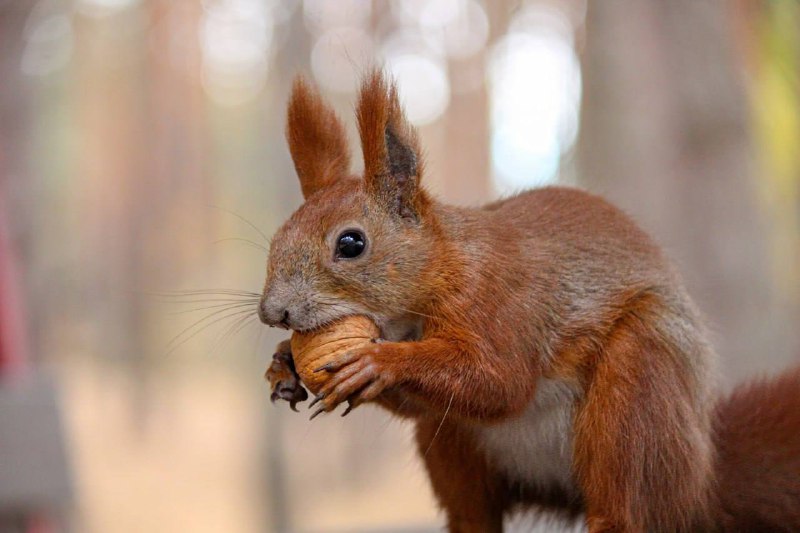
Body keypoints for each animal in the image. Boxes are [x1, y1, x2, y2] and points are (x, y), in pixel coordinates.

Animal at [262, 71, 800, 532]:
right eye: (277, 237)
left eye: (351, 244)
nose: (273, 313)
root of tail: (702, 479)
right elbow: (437, 401)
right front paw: (284, 364)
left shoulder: (501, 301)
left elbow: (499, 380)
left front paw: (379, 362)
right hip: (453, 443)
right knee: (473, 510)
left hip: (639, 393)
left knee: (627, 506)